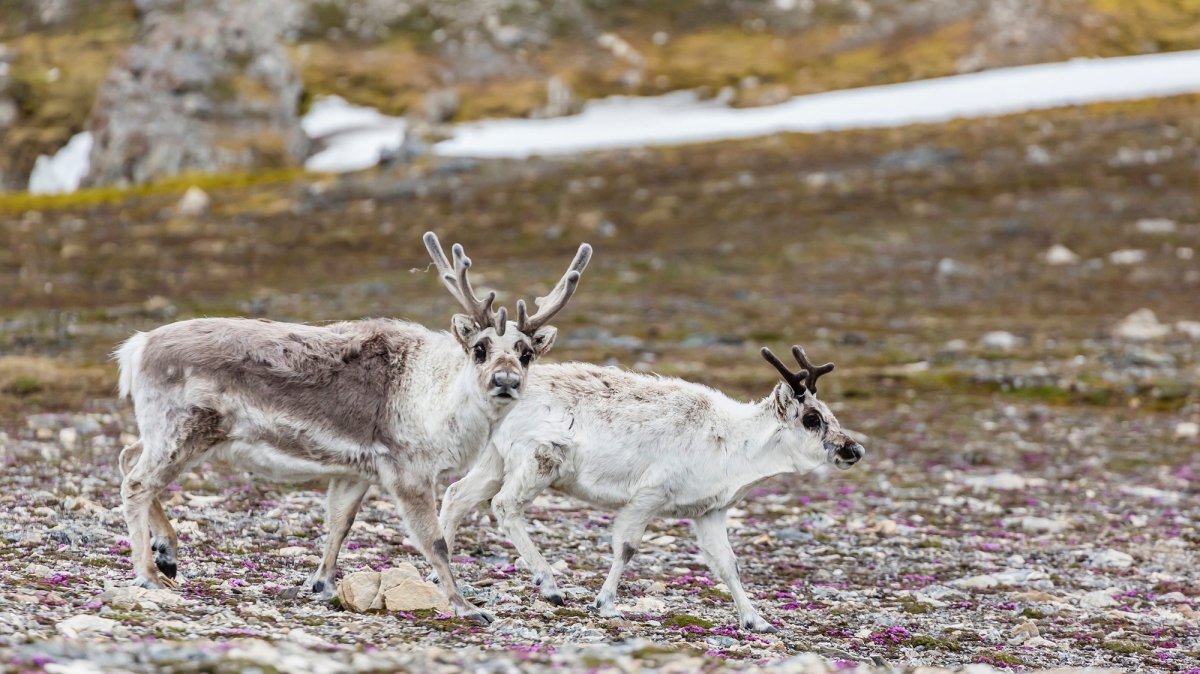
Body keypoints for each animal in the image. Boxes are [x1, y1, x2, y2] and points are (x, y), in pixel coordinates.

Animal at [113, 232, 591, 622]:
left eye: (526, 353)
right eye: (479, 348)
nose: (506, 381)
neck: (440, 398)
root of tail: (137, 347)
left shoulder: (354, 472)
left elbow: (339, 524)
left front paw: (322, 584)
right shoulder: (408, 472)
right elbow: (435, 541)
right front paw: (466, 606)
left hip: (172, 432)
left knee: (128, 458)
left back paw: (167, 553)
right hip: (184, 430)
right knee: (137, 482)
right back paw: (148, 573)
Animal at [435, 344, 864, 631]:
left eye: (830, 414)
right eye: (812, 418)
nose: (854, 449)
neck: (734, 444)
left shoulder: (710, 512)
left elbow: (728, 564)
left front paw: (756, 620)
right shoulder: (648, 497)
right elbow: (626, 547)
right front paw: (606, 604)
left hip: (494, 460)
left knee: (456, 495)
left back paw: (441, 577)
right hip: (539, 460)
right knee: (505, 506)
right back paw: (551, 586)